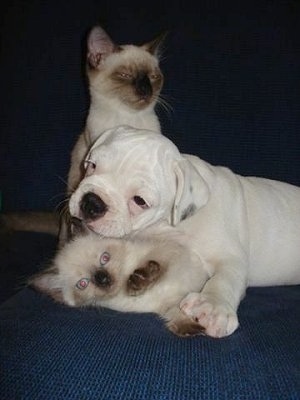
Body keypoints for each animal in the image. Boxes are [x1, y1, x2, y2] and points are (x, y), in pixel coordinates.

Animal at [68, 126, 300, 338]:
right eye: (92, 165)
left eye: (139, 201)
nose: (92, 203)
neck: (170, 225)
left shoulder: (230, 257)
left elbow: (225, 278)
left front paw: (213, 306)